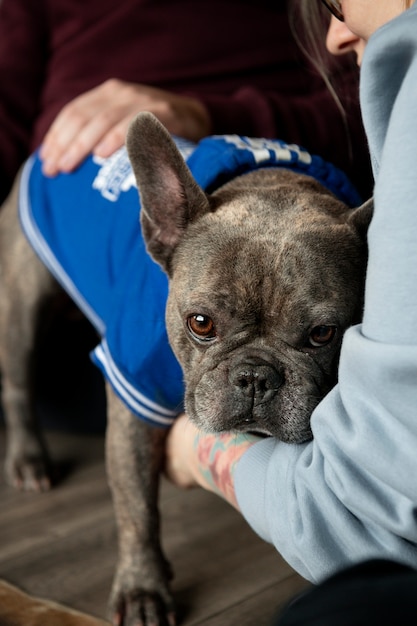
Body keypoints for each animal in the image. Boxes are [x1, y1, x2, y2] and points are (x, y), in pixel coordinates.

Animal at [0, 112, 370, 624]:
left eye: (322, 334)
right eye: (201, 323)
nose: (255, 376)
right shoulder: (132, 397)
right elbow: (137, 507)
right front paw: (142, 588)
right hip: (22, 303)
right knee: (18, 382)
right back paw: (28, 459)